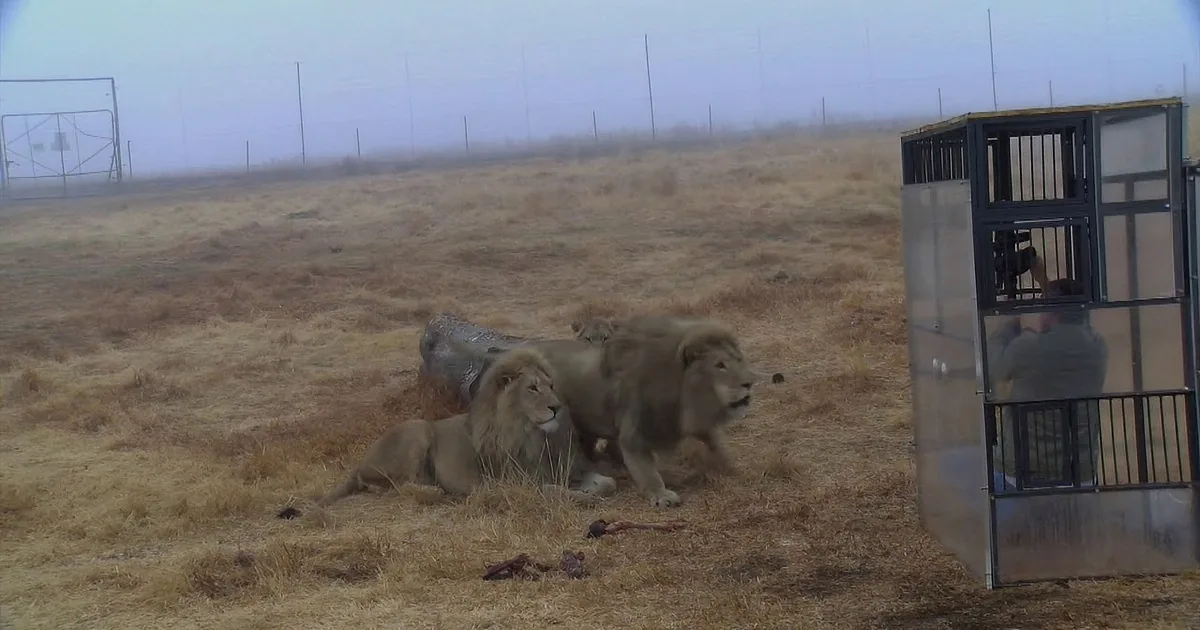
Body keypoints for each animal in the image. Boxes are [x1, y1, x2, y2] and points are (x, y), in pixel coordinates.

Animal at [314, 346, 617, 508]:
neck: (533, 436)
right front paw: (584, 498)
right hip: (418, 429)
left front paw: (592, 490)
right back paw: (436, 492)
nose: (557, 407)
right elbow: (553, 491)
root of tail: (360, 463)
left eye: (551, 386)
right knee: (399, 486)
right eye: (532, 388)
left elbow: (608, 482)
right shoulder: (516, 484)